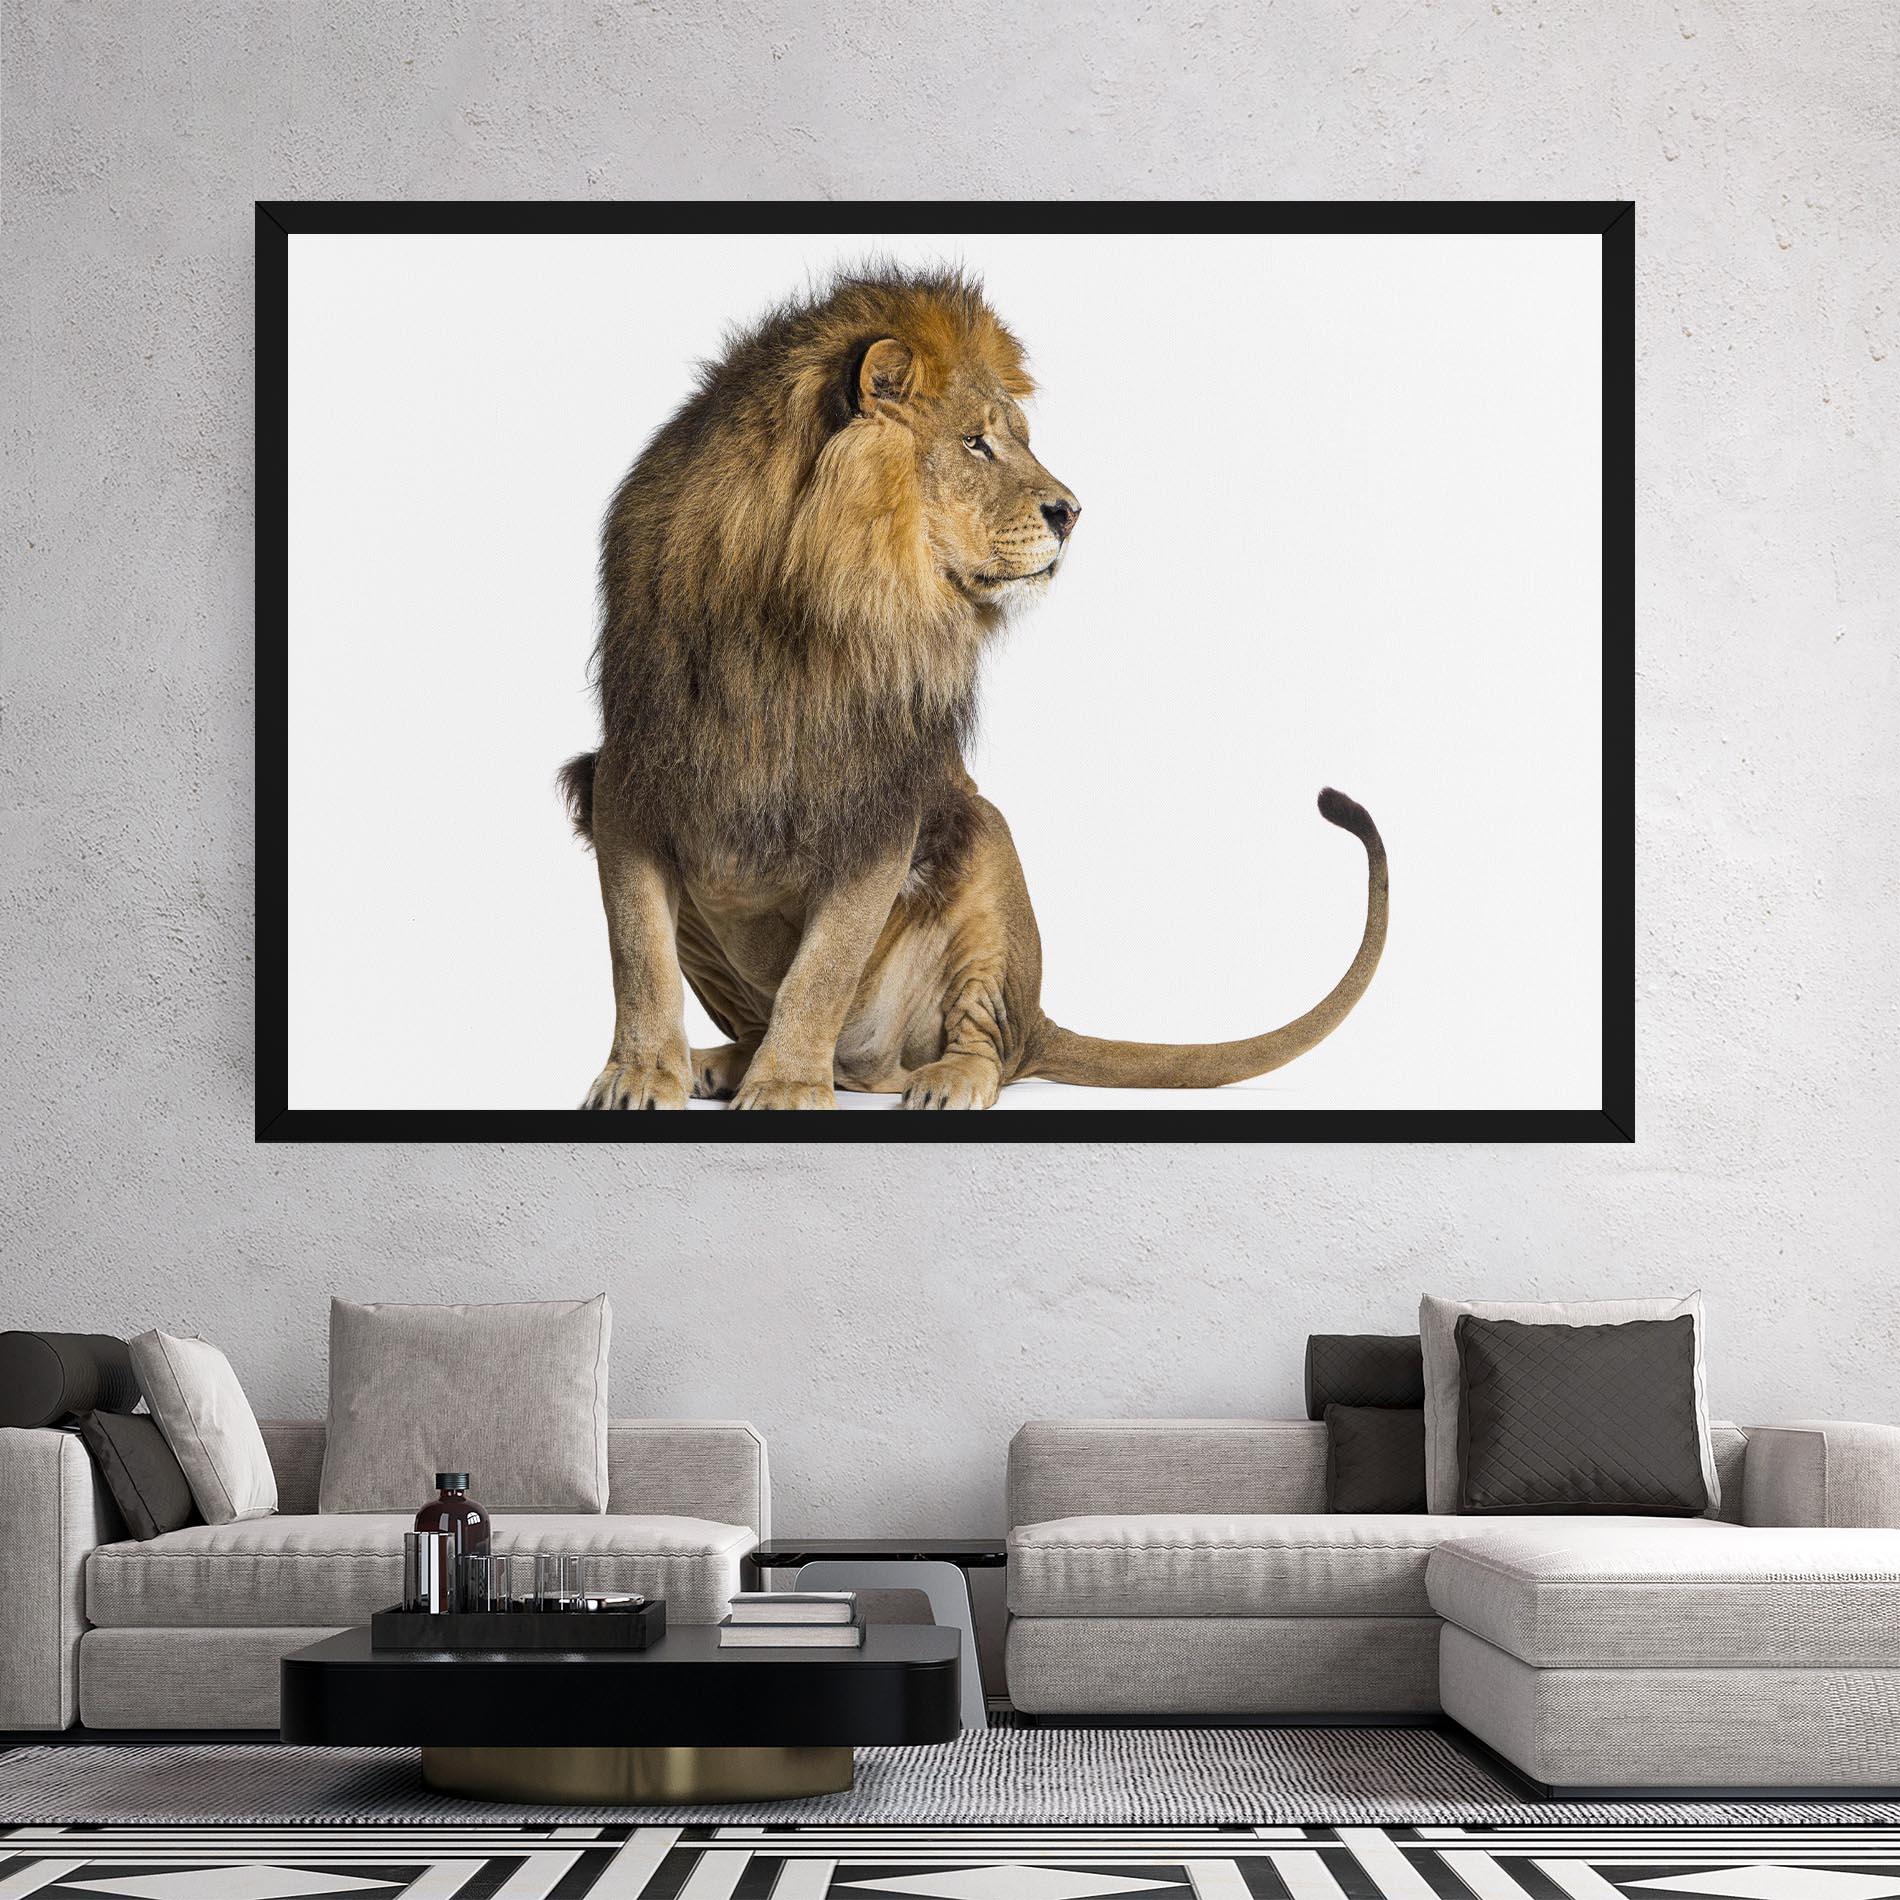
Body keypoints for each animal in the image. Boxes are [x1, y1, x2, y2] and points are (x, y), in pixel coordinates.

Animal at [560, 267, 1387, 1110]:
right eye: (976, 443)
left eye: (1016, 438)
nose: (1072, 512)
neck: (795, 612)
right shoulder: (628, 775)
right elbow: (639, 953)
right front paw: (642, 1074)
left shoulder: (882, 802)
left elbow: (821, 970)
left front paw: (788, 1086)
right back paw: (724, 1063)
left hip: (985, 852)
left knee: (988, 1041)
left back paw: (941, 1078)